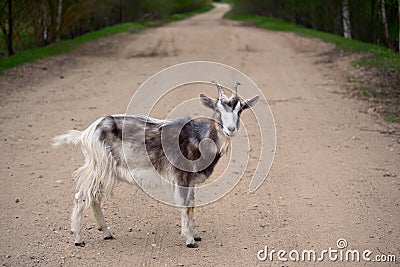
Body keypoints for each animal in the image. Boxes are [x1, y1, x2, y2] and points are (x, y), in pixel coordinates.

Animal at [53, 81, 260, 249]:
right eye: (217, 110)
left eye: (240, 110)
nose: (230, 129)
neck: (199, 138)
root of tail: (86, 133)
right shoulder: (181, 177)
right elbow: (186, 206)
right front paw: (189, 240)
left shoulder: (190, 180)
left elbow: (192, 205)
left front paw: (195, 234)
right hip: (99, 167)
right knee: (81, 196)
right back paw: (78, 239)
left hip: (104, 171)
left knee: (94, 198)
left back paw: (106, 233)